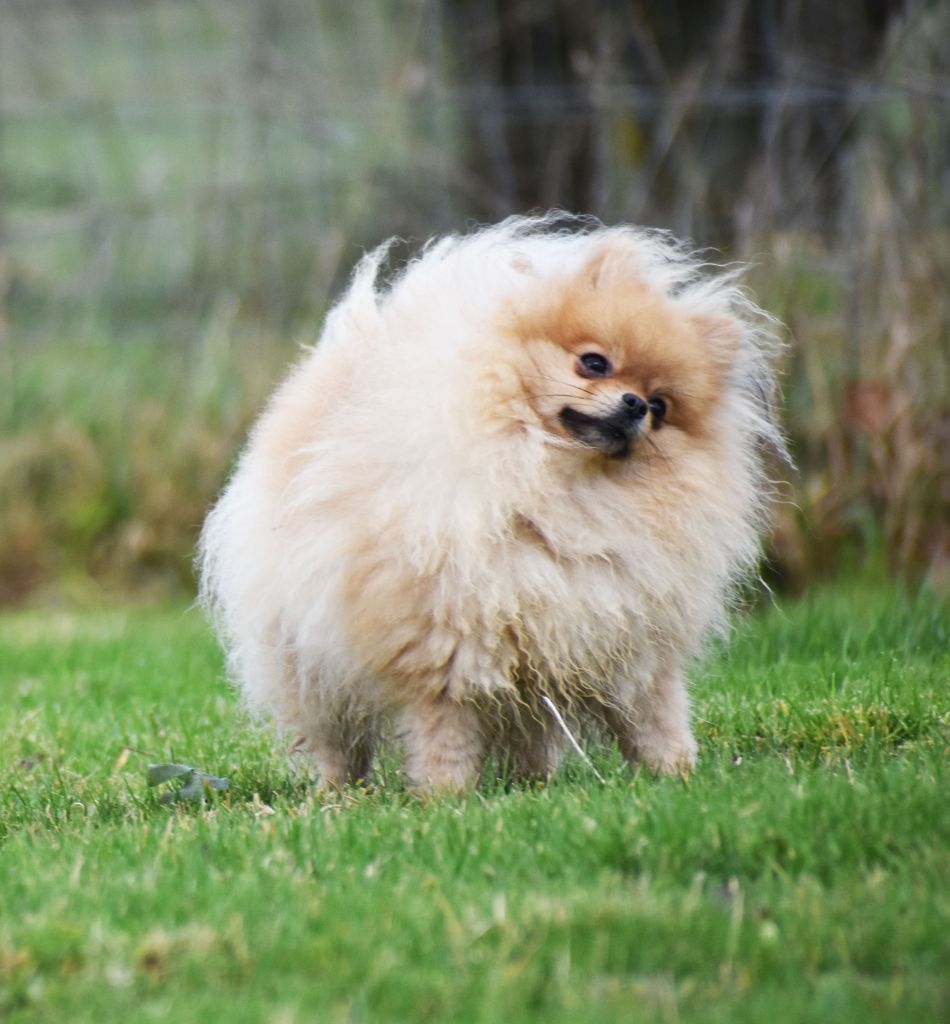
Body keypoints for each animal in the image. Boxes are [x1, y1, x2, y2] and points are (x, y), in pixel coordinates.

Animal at [196, 214, 782, 790]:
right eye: (593, 362)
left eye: (661, 406)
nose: (636, 404)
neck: (568, 493)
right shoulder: (442, 644)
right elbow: (445, 730)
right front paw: (446, 795)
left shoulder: (633, 642)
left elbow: (657, 717)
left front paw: (678, 775)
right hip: (307, 656)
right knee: (338, 737)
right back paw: (339, 790)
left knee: (532, 732)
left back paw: (533, 782)